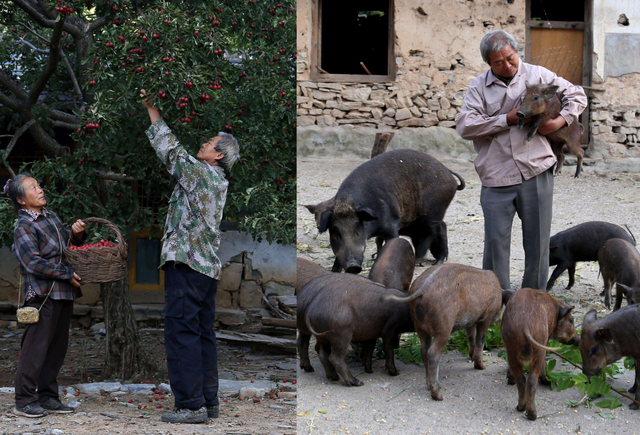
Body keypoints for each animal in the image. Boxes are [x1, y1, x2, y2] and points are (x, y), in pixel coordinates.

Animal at [316, 150, 462, 272]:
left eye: (357, 230)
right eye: (335, 233)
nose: (352, 266)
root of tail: (448, 174)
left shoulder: (391, 225)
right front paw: (334, 271)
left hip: (434, 211)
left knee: (434, 231)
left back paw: (428, 261)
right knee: (441, 226)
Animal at [502, 288, 576, 420]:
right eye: (571, 320)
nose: (578, 340)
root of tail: (525, 324)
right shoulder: (546, 340)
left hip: (512, 349)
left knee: (522, 379)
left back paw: (520, 408)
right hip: (539, 347)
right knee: (531, 380)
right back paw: (532, 415)